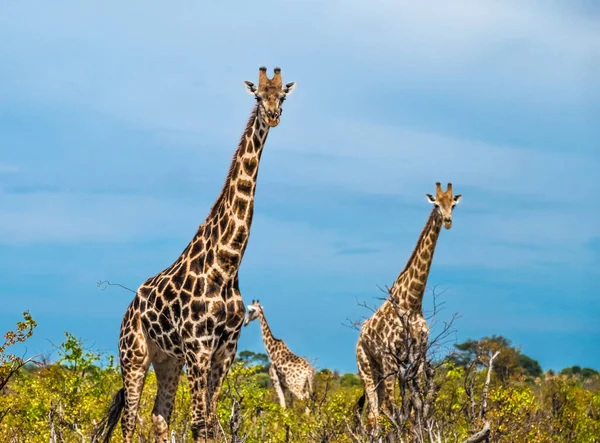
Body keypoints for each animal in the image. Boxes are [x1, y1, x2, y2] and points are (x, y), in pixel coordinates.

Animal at [94, 67, 298, 443]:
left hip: (167, 359)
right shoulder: (198, 347)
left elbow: (211, 421)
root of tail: (129, 310)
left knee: (159, 416)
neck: (227, 265)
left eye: (283, 96)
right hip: (134, 356)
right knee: (129, 421)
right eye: (257, 96)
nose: (273, 116)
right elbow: (199, 423)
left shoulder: (225, 350)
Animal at [356, 183, 464, 426]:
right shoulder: (390, 358)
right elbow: (395, 409)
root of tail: (360, 337)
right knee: (375, 413)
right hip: (366, 365)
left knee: (375, 412)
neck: (412, 303)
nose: (448, 221)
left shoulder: (419, 356)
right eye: (436, 204)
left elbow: (416, 410)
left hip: (379, 369)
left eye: (453, 204)